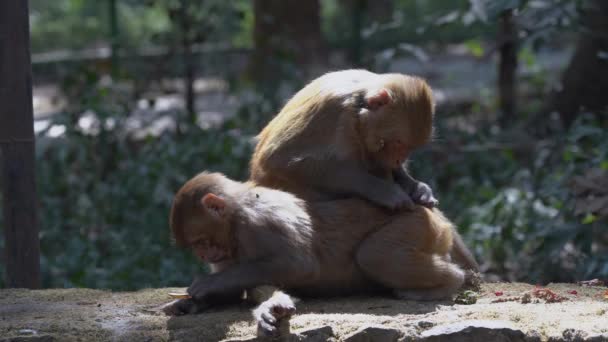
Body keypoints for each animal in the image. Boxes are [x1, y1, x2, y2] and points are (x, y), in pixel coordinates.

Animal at [163, 172, 466, 336]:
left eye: (201, 241)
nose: (203, 256)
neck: (236, 217)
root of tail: (434, 215)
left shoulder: (260, 222)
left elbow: (300, 264)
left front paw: (205, 285)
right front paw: (191, 304)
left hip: (414, 225)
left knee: (374, 255)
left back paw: (449, 283)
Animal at [249, 68, 440, 210]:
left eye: (409, 148)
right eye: (398, 143)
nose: (399, 159)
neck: (357, 104)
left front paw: (416, 187)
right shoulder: (333, 112)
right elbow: (278, 159)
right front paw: (384, 191)